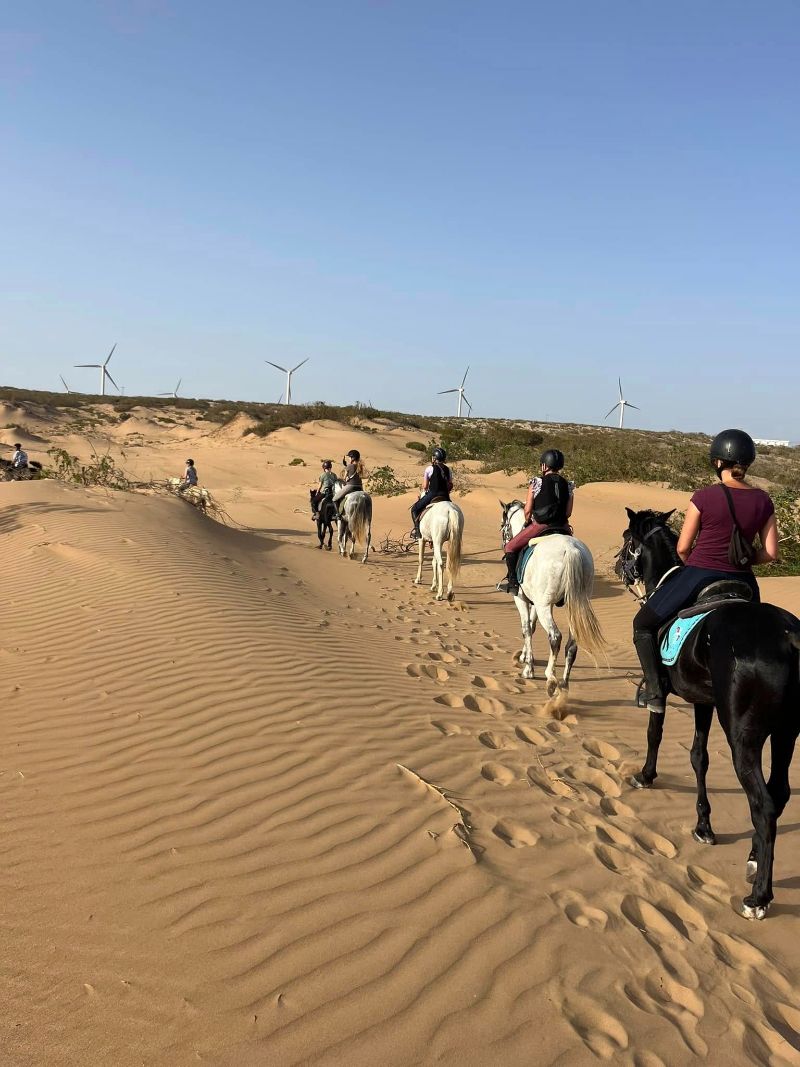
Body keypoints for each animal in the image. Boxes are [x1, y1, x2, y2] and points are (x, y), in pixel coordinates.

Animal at [500, 500, 605, 693]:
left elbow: (526, 628)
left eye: (503, 525)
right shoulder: (534, 601)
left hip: (545, 606)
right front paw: (525, 657)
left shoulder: (521, 599)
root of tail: (570, 550)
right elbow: (532, 626)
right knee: (572, 644)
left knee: (555, 636)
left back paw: (551, 678)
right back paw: (564, 683)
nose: (504, 543)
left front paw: (528, 668)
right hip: (575, 604)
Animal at [617, 507, 800, 920]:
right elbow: (698, 757)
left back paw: (758, 897)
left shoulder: (664, 689)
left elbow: (655, 731)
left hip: (744, 735)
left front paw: (645, 775)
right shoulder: (703, 701)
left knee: (763, 804)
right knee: (778, 793)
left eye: (627, 539)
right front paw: (704, 825)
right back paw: (753, 859)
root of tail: (790, 638)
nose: (618, 565)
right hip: (787, 732)